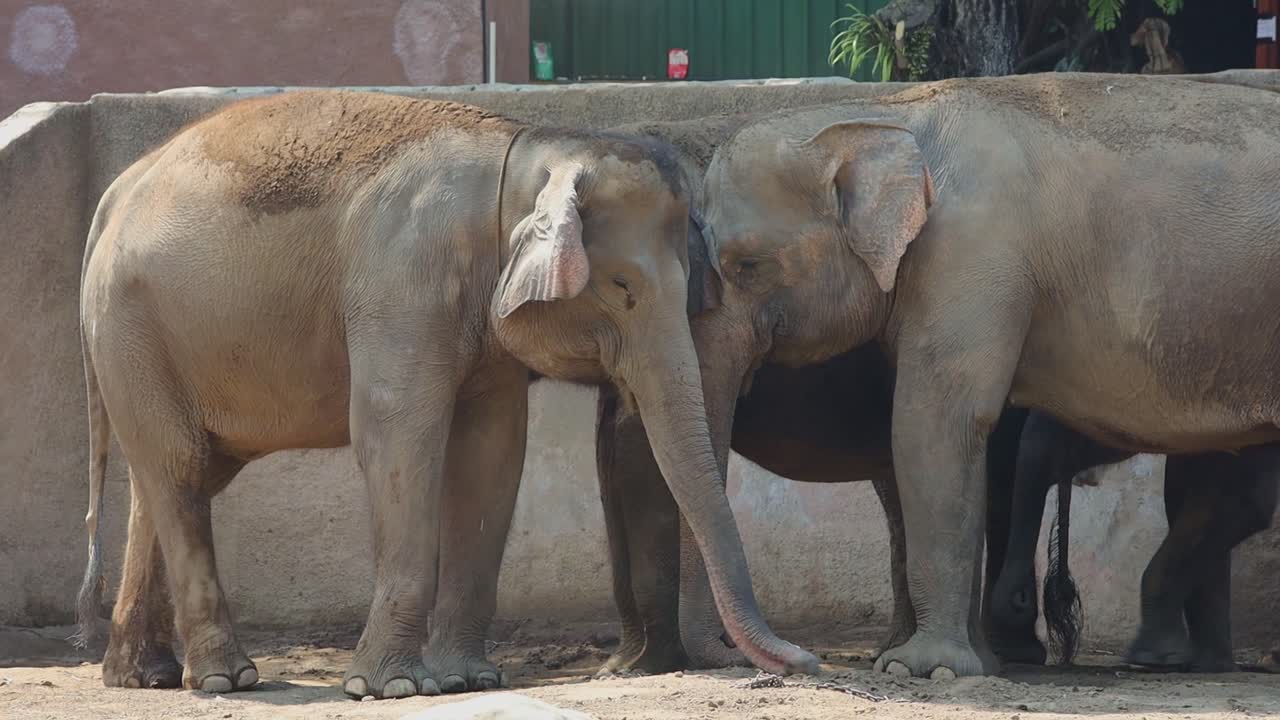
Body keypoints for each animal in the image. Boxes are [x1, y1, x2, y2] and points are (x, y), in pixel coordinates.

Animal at [72, 89, 817, 699]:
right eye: (623, 287)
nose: (805, 662)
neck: (525, 153)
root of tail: (114, 192)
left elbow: (493, 451)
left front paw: (469, 680)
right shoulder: (403, 279)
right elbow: (397, 436)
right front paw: (393, 688)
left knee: (168, 477)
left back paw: (142, 675)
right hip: (132, 325)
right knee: (177, 471)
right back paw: (225, 680)